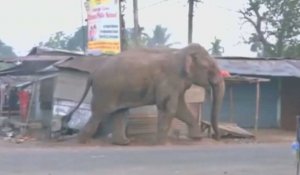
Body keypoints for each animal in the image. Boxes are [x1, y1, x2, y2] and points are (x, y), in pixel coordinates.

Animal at [62, 43, 224, 145]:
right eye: (210, 67)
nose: (217, 138)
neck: (180, 53)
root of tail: (92, 74)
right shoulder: (169, 81)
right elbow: (169, 108)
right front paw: (159, 144)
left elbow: (180, 108)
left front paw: (197, 138)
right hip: (105, 91)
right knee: (98, 115)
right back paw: (81, 142)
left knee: (120, 113)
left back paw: (124, 143)